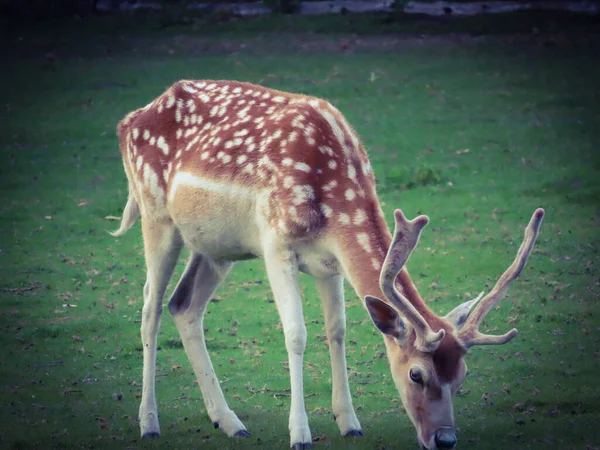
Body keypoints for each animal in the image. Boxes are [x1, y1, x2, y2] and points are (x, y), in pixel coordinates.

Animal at [110, 79, 548, 448]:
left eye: (462, 375)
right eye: (416, 374)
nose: (445, 439)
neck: (333, 193)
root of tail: (128, 121)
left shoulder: (329, 261)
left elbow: (337, 330)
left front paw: (350, 422)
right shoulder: (275, 242)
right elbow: (297, 334)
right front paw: (300, 434)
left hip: (217, 247)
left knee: (184, 306)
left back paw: (230, 422)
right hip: (156, 215)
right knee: (150, 307)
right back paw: (149, 423)